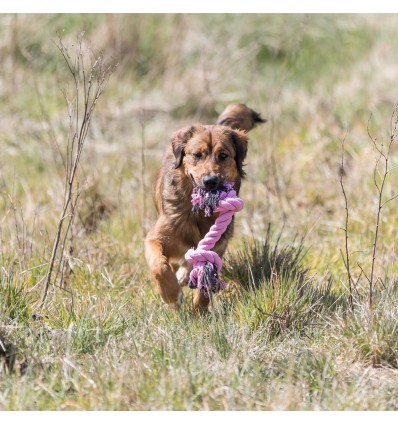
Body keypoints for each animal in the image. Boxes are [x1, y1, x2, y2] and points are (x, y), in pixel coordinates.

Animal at [144, 102, 264, 308]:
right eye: (197, 155)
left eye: (223, 155)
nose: (210, 181)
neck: (197, 213)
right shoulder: (157, 237)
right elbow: (159, 265)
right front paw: (171, 294)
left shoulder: (217, 246)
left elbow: (205, 278)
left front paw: (199, 309)